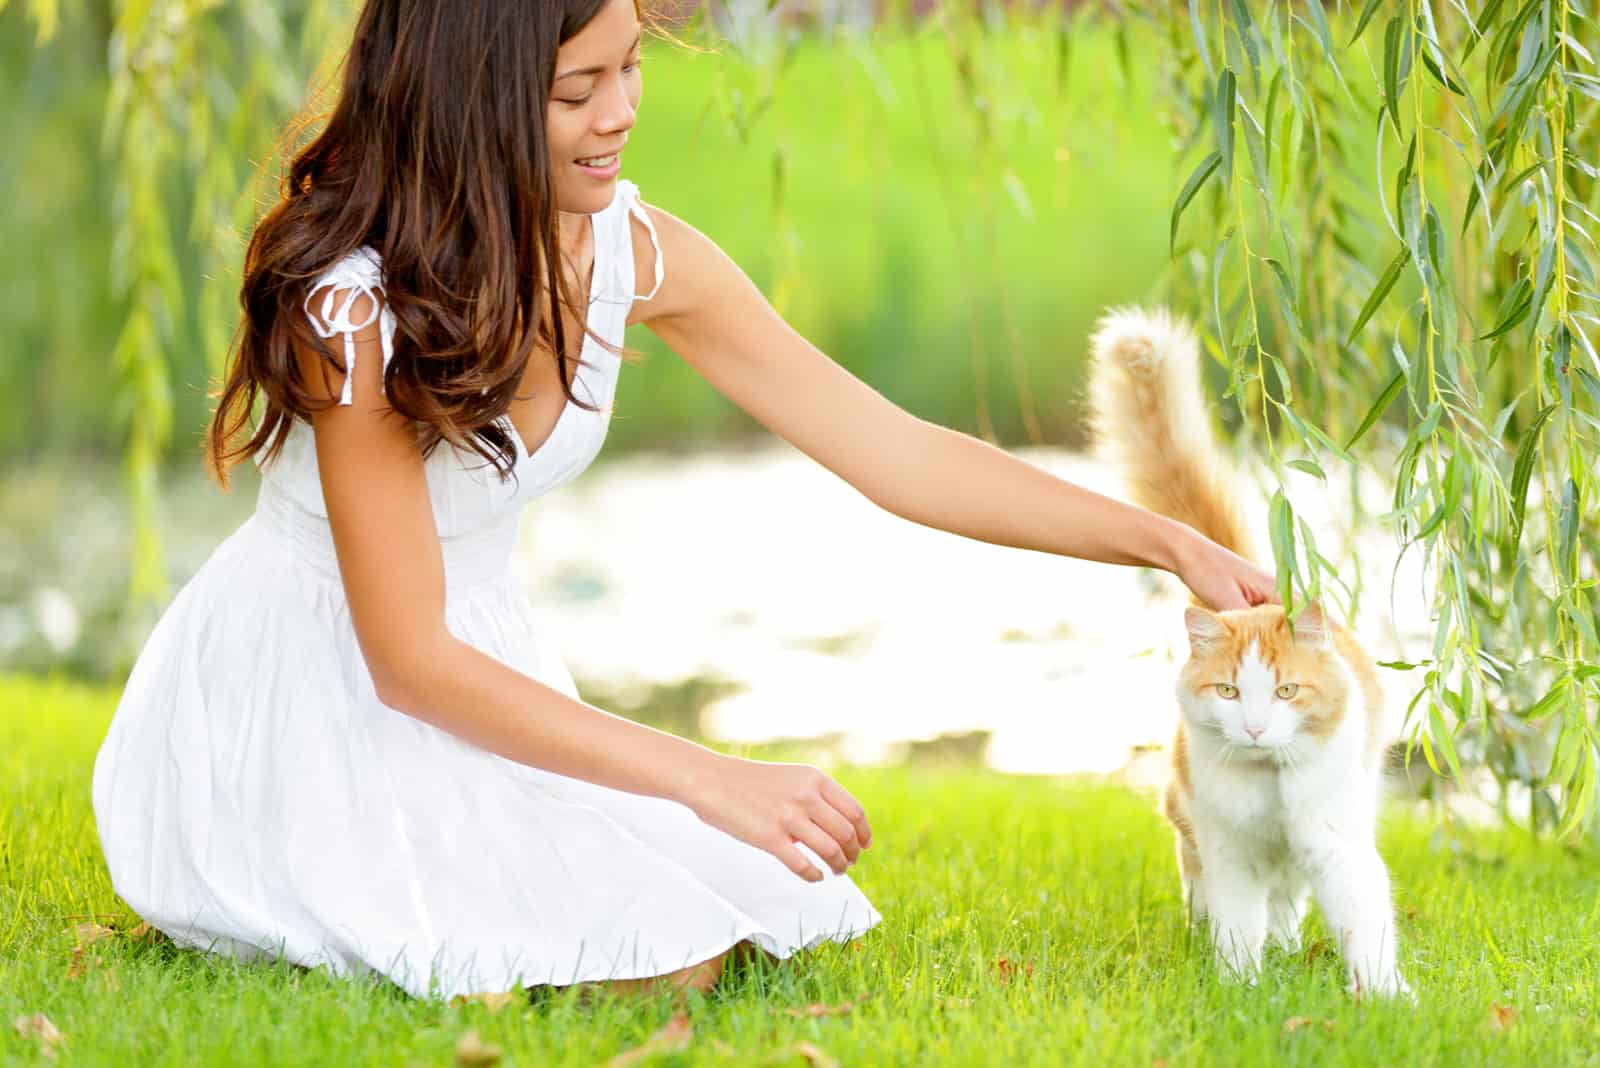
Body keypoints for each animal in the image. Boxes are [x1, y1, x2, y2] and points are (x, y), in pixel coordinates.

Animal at [1088, 306, 1414, 1004]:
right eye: (1230, 692)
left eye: (1287, 691)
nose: (1258, 728)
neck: (1271, 782)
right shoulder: (1229, 852)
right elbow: (1236, 924)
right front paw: (1238, 989)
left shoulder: (1337, 846)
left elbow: (1364, 925)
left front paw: (1382, 994)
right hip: (1189, 822)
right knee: (1210, 891)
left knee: (1288, 901)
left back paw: (1289, 947)